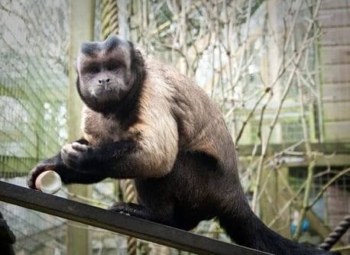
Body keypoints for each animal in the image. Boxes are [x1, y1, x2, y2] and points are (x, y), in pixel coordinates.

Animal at [27, 35, 340, 255]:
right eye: (94, 70)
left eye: (113, 67)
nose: (104, 79)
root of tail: (234, 192)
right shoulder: (92, 113)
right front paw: (54, 165)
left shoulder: (152, 89)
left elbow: (158, 156)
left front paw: (85, 158)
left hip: (205, 184)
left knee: (172, 162)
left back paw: (158, 216)